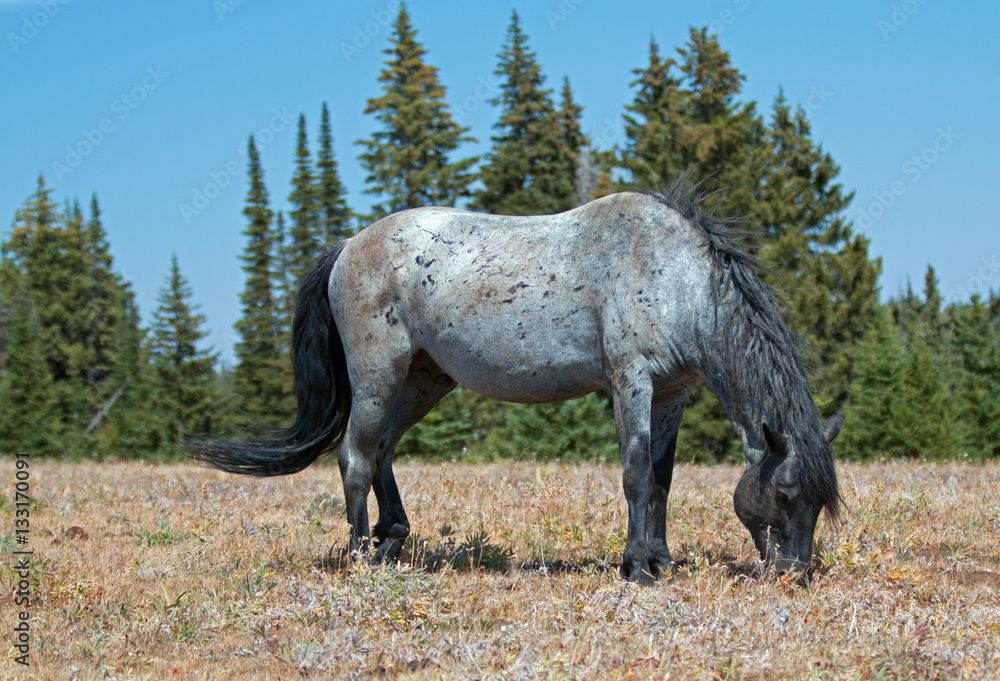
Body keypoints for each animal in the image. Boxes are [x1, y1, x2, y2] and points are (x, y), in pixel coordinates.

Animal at [191, 180, 845, 584]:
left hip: (426, 380)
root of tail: (348, 245)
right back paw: (358, 557)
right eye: (786, 495)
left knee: (382, 450)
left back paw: (392, 540)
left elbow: (661, 480)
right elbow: (635, 474)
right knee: (354, 455)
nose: (793, 571)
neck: (676, 276)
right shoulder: (630, 381)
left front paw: (661, 562)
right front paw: (636, 567)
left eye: (819, 501)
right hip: (379, 372)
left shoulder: (672, 393)